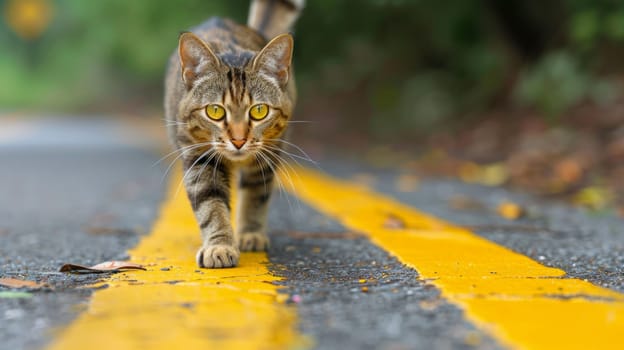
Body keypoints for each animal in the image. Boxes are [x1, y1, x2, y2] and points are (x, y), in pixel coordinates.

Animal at [163, 0, 304, 268]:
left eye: (259, 111)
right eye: (215, 111)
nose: (238, 140)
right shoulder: (199, 158)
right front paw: (219, 246)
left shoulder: (265, 158)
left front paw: (250, 233)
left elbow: (255, 197)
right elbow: (211, 206)